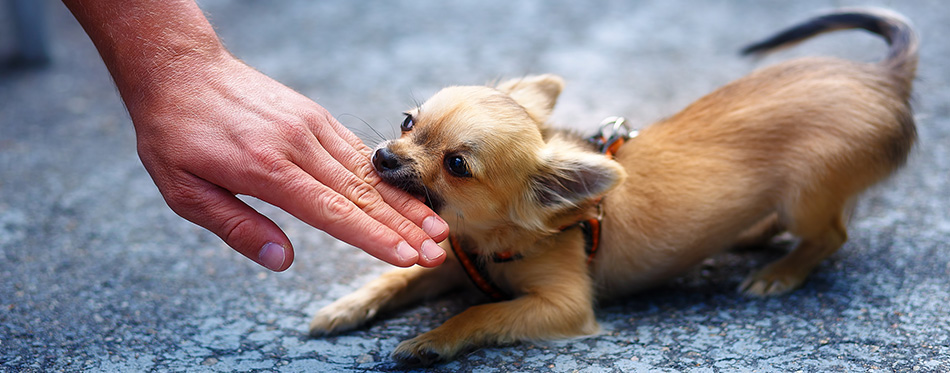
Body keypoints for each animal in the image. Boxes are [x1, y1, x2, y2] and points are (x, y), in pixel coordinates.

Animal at [308, 8, 920, 364]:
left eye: (456, 165)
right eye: (408, 122)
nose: (384, 155)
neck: (487, 240)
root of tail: (881, 76)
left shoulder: (562, 306)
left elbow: (480, 314)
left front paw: (431, 340)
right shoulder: (454, 265)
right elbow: (398, 278)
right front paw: (344, 308)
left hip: (806, 198)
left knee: (832, 235)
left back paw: (781, 271)